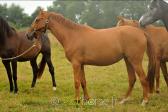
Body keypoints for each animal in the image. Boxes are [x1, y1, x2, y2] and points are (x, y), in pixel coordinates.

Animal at [26, 10, 156, 105]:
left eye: (37, 19)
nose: (28, 35)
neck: (73, 35)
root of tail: (141, 32)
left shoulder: (76, 64)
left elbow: (76, 82)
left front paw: (77, 100)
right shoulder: (81, 64)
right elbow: (83, 81)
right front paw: (86, 99)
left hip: (135, 61)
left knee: (143, 79)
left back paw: (145, 101)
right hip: (128, 61)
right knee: (132, 79)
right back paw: (124, 100)